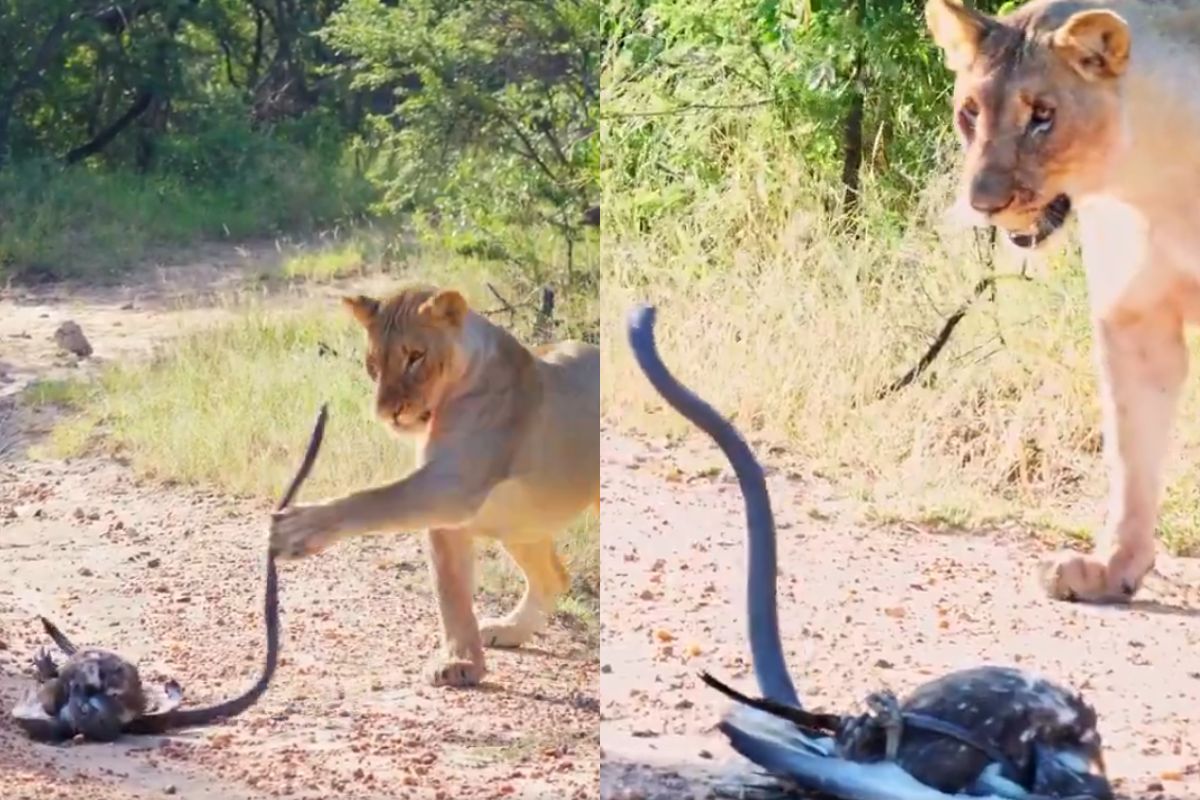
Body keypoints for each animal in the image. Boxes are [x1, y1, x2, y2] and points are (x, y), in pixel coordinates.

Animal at [269, 286, 599, 686]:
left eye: (415, 356)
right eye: (373, 363)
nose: (387, 413)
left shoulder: (453, 482)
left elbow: (375, 500)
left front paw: (297, 528)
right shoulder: (444, 516)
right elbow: (450, 592)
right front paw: (461, 661)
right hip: (521, 524)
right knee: (554, 577)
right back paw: (509, 629)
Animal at [926, 0, 1200, 603]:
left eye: (1043, 115)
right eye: (970, 113)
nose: (983, 203)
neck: (1155, 184)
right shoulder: (1134, 320)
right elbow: (1131, 452)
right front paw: (1112, 567)